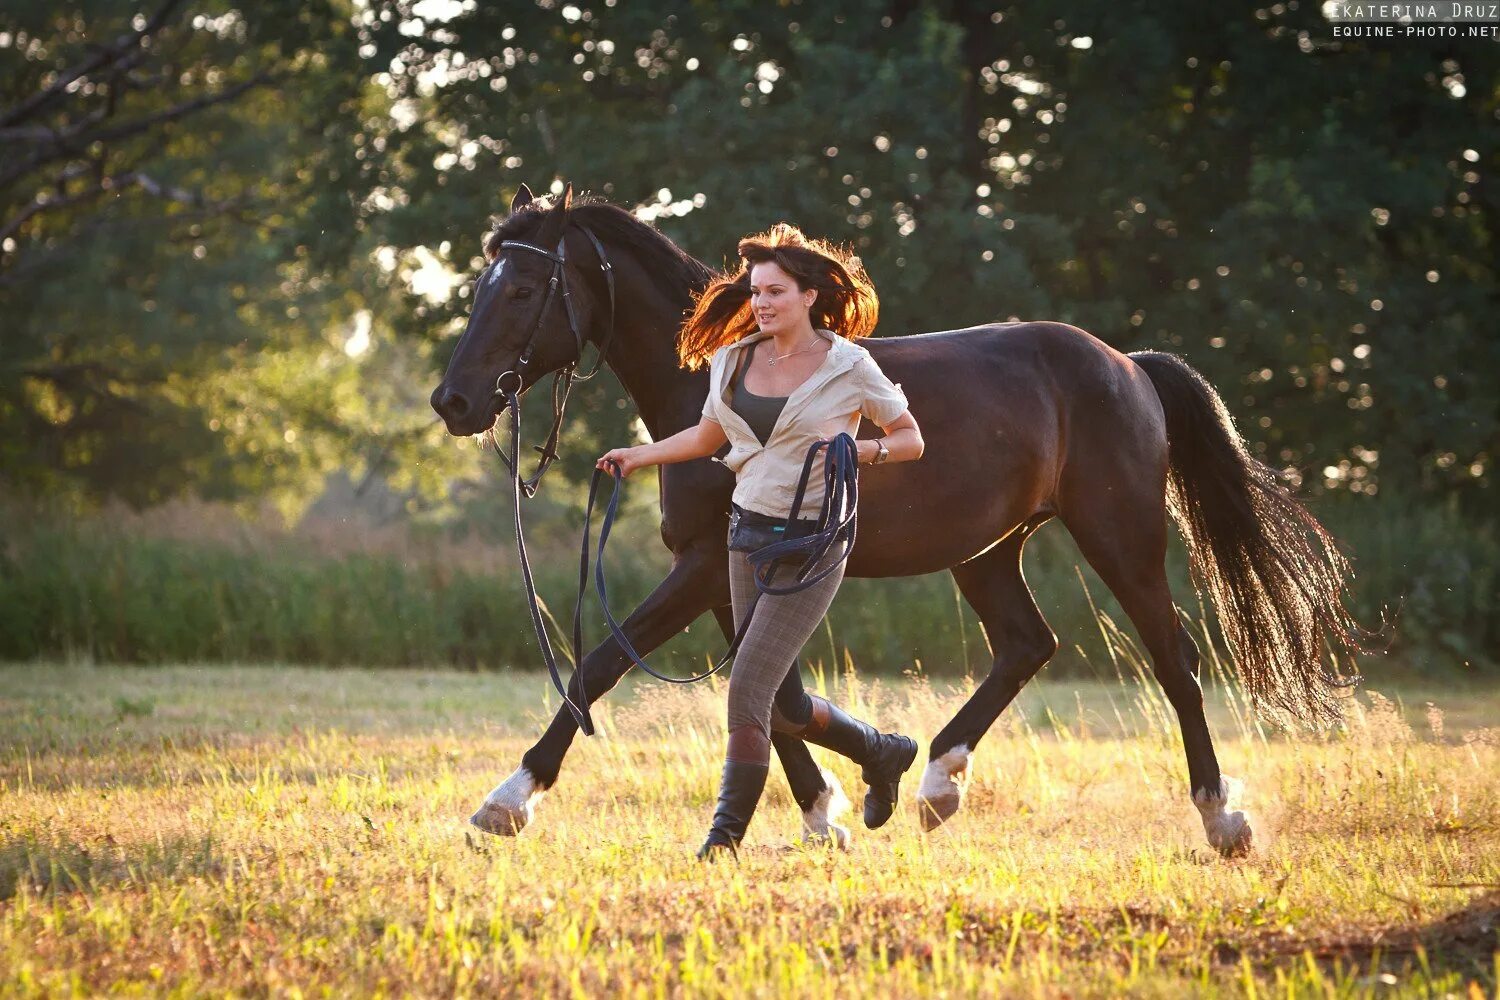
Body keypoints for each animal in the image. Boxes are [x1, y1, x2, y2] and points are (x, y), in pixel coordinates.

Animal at [426, 183, 1374, 857]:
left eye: (522, 290)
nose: (454, 401)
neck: (705, 399)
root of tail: (1128, 366)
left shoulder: (699, 568)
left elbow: (601, 669)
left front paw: (506, 803)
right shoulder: (732, 572)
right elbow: (774, 700)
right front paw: (836, 808)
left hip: (1121, 539)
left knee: (1174, 663)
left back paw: (1222, 820)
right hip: (987, 552)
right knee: (1027, 645)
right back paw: (938, 786)